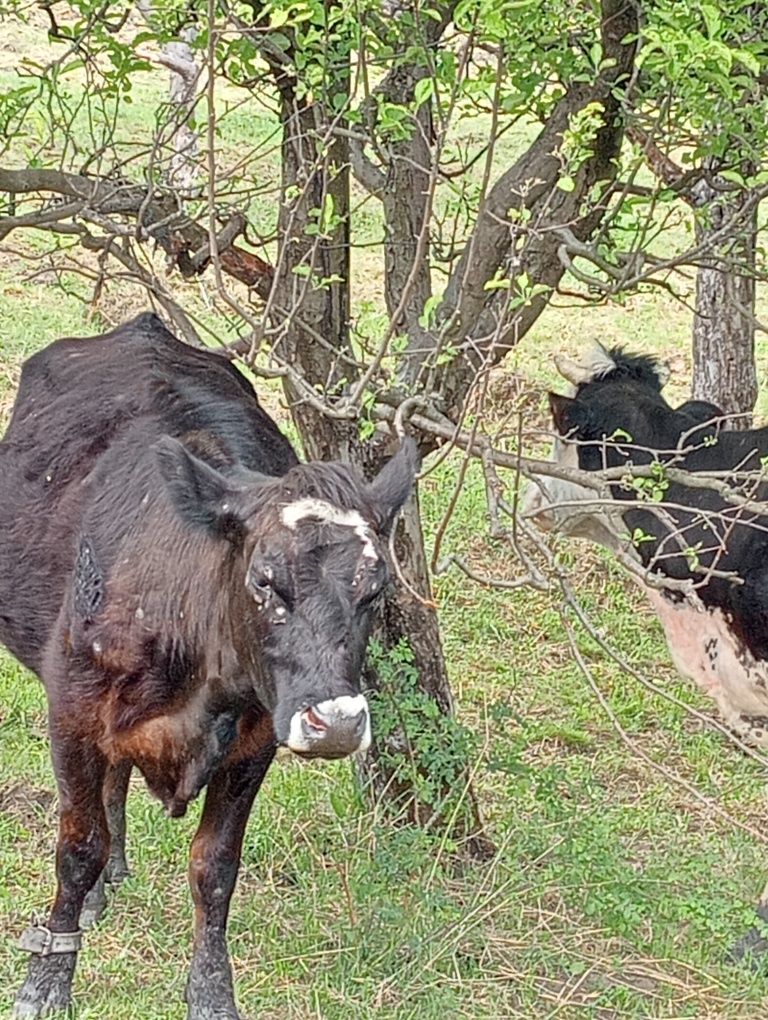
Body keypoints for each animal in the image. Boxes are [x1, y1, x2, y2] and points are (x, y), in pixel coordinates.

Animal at [2, 312, 416, 1020]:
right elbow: (76, 848)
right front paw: (46, 982)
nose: (335, 723)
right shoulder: (72, 715)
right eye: (264, 580)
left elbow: (215, 867)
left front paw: (212, 994)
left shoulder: (254, 741)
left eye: (377, 588)